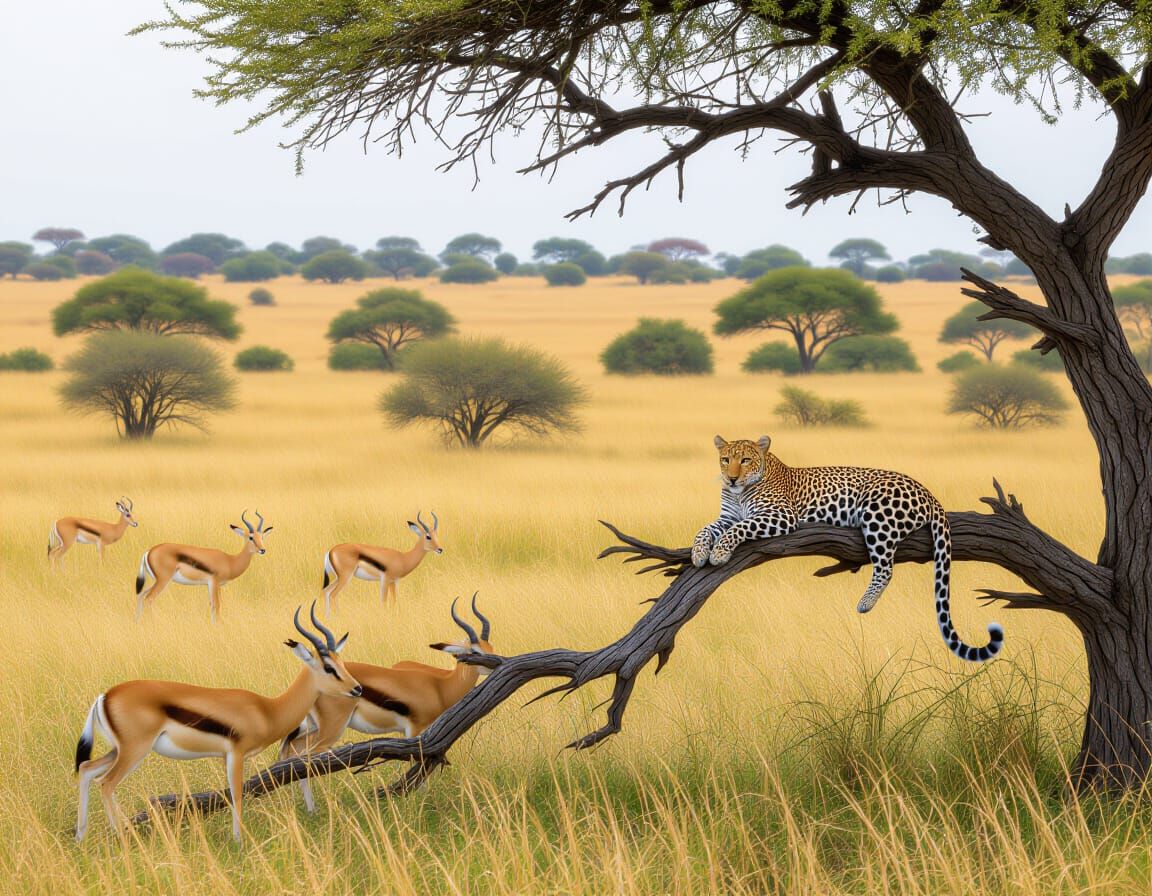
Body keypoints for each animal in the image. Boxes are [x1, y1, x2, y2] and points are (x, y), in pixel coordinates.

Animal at [692, 435, 1004, 663]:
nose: (731, 479)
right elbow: (705, 530)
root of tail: (927, 492)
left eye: (745, 460)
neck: (741, 492)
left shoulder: (780, 515)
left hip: (878, 514)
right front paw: (698, 553)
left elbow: (739, 528)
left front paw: (719, 553)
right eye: (725, 460)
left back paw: (865, 603)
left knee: (886, 568)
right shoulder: (726, 517)